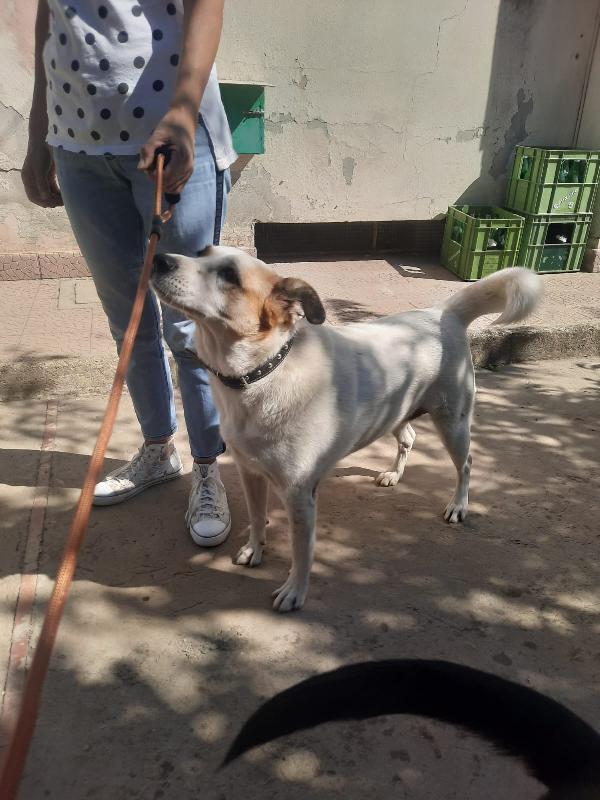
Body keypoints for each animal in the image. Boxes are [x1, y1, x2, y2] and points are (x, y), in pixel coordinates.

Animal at [151, 250, 544, 612]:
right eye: (201, 252)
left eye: (230, 275)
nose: (159, 259)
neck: (265, 372)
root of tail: (441, 312)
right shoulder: (251, 473)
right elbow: (257, 518)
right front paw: (254, 550)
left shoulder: (299, 495)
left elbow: (301, 552)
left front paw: (295, 592)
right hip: (395, 412)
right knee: (410, 438)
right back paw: (394, 475)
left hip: (453, 422)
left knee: (466, 464)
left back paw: (459, 505)